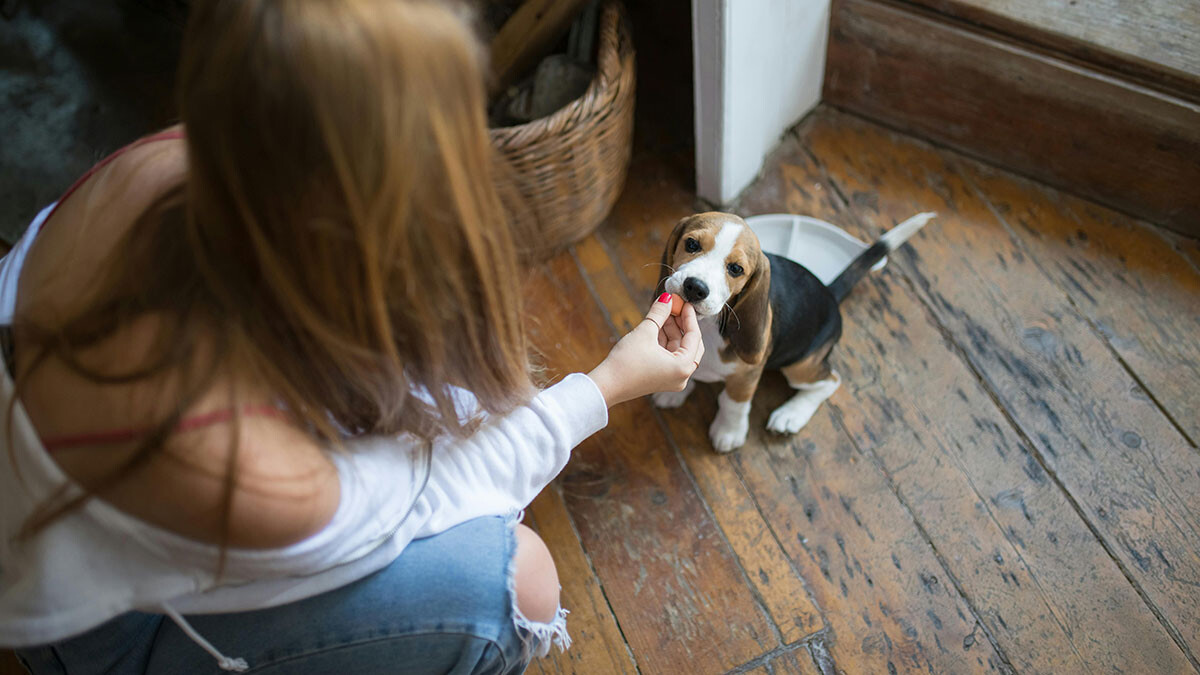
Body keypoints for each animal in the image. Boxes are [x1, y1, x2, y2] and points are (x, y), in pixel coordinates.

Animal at [652, 210, 931, 451]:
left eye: (736, 269)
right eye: (691, 244)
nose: (695, 287)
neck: (708, 325)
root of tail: (830, 293)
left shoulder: (748, 375)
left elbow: (734, 403)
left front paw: (728, 432)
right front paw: (671, 389)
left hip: (800, 366)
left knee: (831, 380)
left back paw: (791, 414)